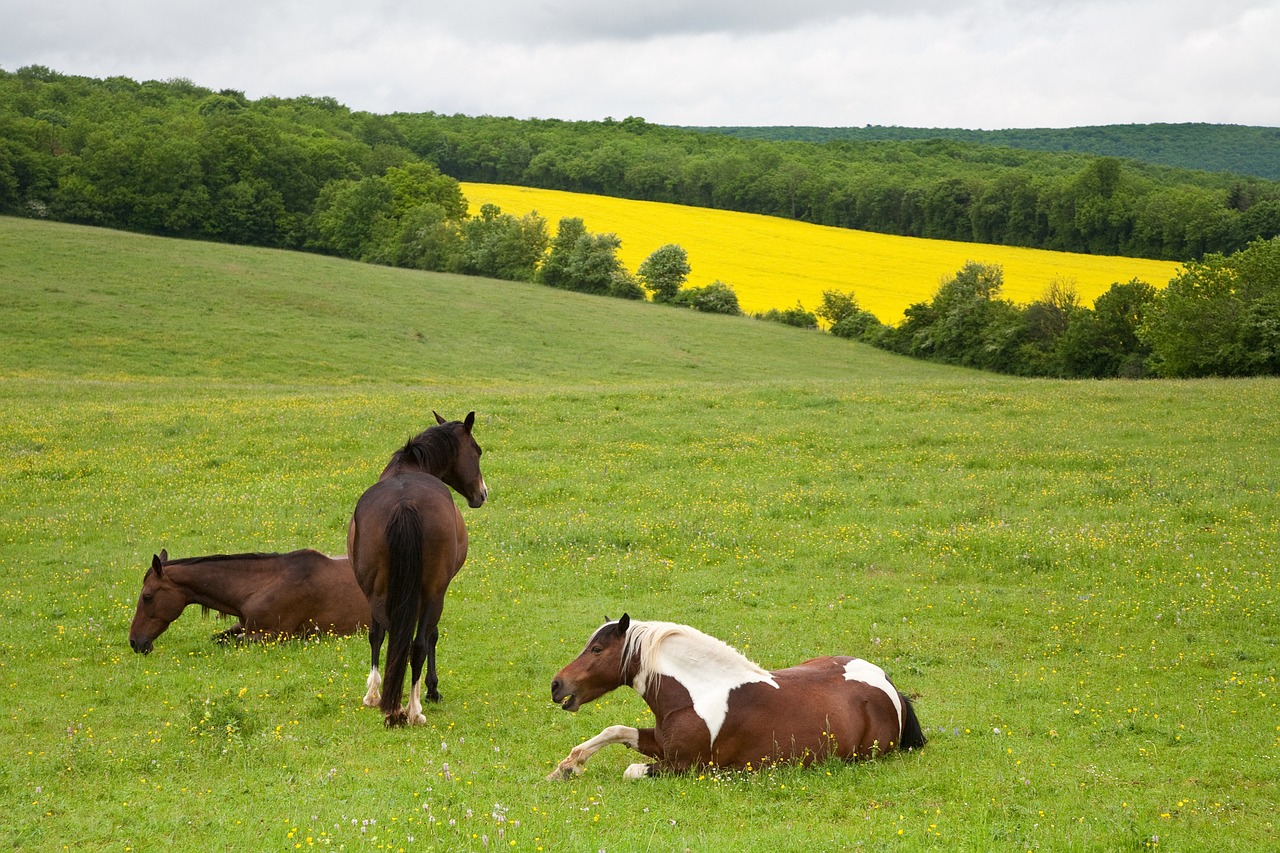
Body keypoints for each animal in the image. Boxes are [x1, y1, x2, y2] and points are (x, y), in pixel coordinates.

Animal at [128, 545, 371, 650]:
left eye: (147, 597)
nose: (135, 642)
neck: (259, 586)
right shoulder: (243, 625)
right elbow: (219, 638)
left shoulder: (274, 634)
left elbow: (236, 641)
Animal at [348, 412, 486, 722]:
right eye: (478, 451)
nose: (482, 494)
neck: (409, 466)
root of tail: (405, 504)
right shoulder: (437, 591)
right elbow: (431, 637)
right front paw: (433, 689)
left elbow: (377, 635)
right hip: (433, 593)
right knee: (416, 644)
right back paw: (412, 708)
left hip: (377, 592)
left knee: (389, 638)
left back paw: (384, 699)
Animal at [545, 612, 926, 778]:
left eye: (596, 649)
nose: (557, 685)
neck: (696, 693)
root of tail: (888, 684)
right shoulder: (660, 743)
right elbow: (616, 731)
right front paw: (567, 767)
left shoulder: (684, 765)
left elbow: (631, 770)